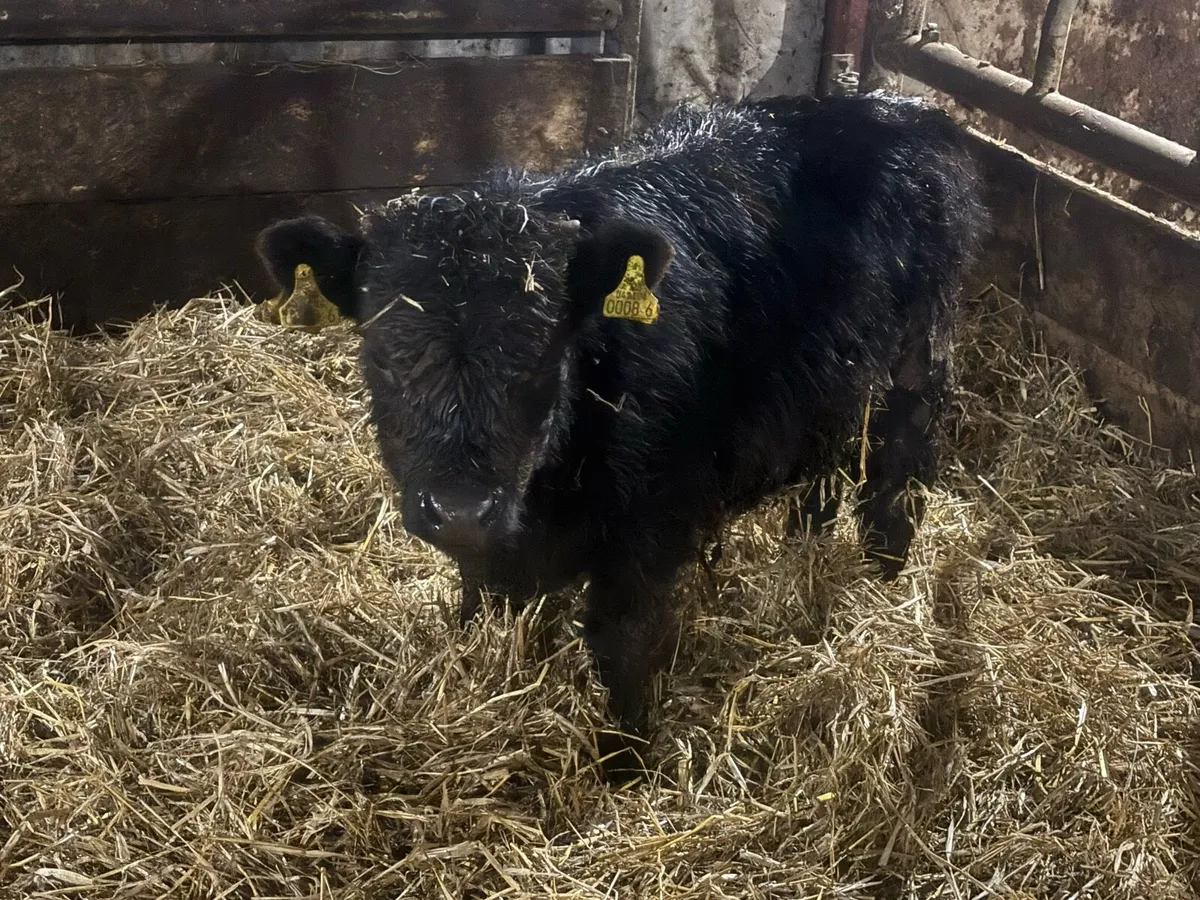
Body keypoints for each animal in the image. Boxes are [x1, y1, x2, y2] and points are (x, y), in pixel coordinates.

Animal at [255, 91, 988, 780]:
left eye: (544, 357)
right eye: (382, 353)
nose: (461, 508)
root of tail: (898, 108)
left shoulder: (652, 523)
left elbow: (622, 644)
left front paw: (625, 763)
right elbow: (481, 601)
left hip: (917, 366)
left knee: (898, 473)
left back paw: (882, 584)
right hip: (830, 387)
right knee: (826, 473)